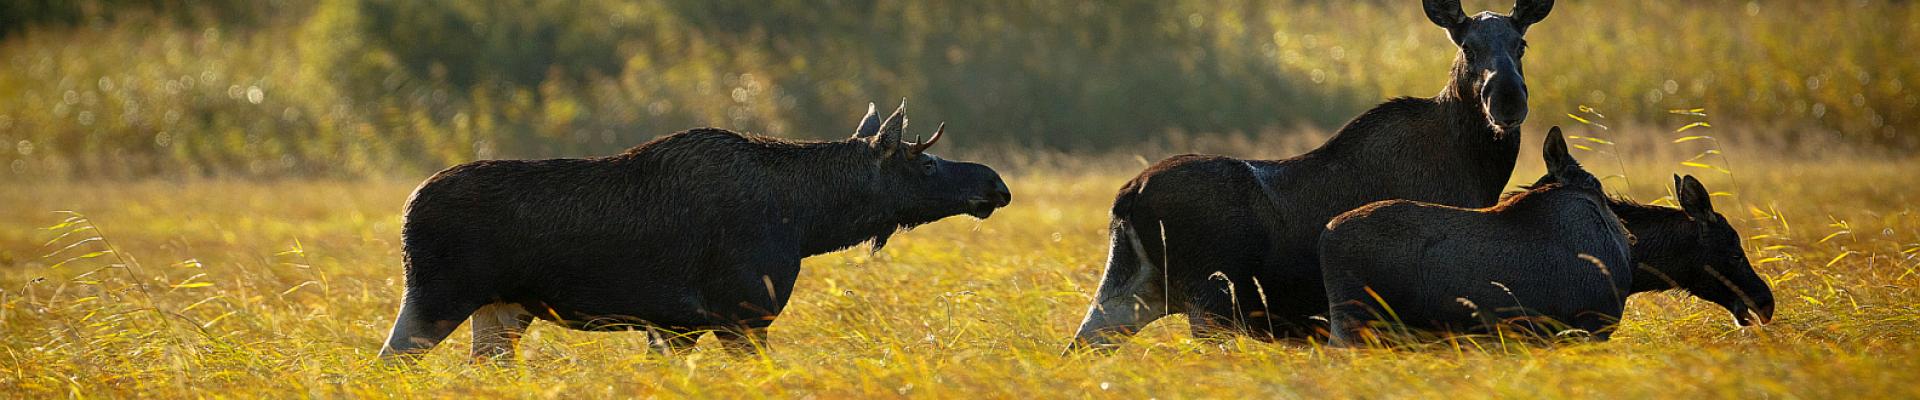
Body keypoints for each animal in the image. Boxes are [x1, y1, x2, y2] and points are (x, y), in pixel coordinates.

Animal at [366, 100, 1013, 361]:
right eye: (924, 162)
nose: (995, 184)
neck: (807, 221)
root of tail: (406, 209)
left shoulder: (676, 327)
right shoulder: (741, 315)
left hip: (503, 310)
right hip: (436, 296)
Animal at [1067, 0, 1559, 350]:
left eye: (1521, 45)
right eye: (1467, 46)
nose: (1508, 100)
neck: (1475, 166)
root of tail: (1128, 195)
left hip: (1133, 290)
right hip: (1211, 301)